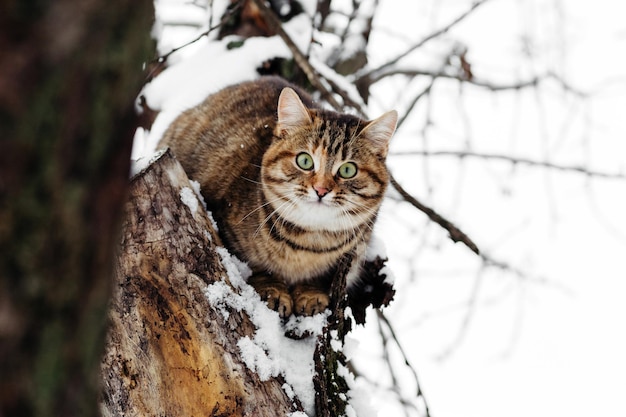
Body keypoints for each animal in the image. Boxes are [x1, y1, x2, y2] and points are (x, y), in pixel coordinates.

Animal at [160, 76, 394, 316]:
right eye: (304, 161)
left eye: (348, 170)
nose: (321, 189)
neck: (308, 245)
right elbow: (255, 266)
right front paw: (272, 289)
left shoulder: (351, 257)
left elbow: (320, 278)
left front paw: (310, 293)